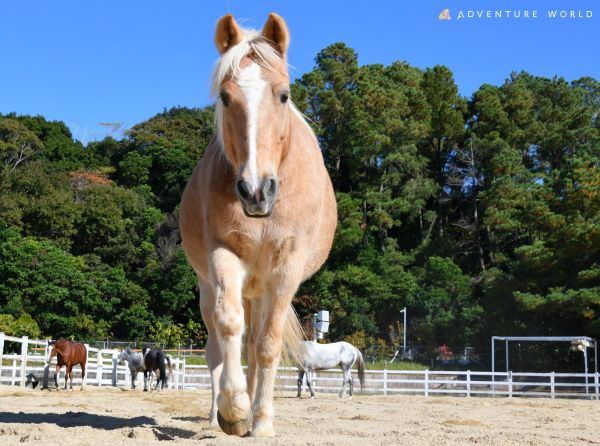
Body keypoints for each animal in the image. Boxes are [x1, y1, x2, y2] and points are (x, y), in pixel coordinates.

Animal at [178, 13, 338, 436]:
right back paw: (218, 415)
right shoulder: (224, 257)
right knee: (217, 348)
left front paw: (261, 420)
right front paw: (234, 410)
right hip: (213, 286)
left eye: (283, 95)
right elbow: (229, 327)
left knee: (253, 346)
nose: (255, 191)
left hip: (261, 289)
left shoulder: (285, 270)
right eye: (224, 97)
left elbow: (267, 345)